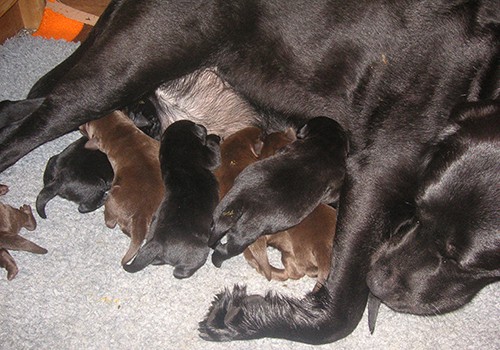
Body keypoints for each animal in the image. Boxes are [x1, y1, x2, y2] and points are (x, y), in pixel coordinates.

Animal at [79, 111, 162, 266]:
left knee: (111, 222)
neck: (122, 134)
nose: (79, 125)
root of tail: (141, 215)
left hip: (112, 198)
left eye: (87, 125)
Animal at [122, 120, 219, 278]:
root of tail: (156, 243)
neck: (176, 159)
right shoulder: (208, 158)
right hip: (198, 251)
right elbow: (215, 156)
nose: (203, 126)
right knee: (180, 271)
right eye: (193, 123)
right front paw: (214, 137)